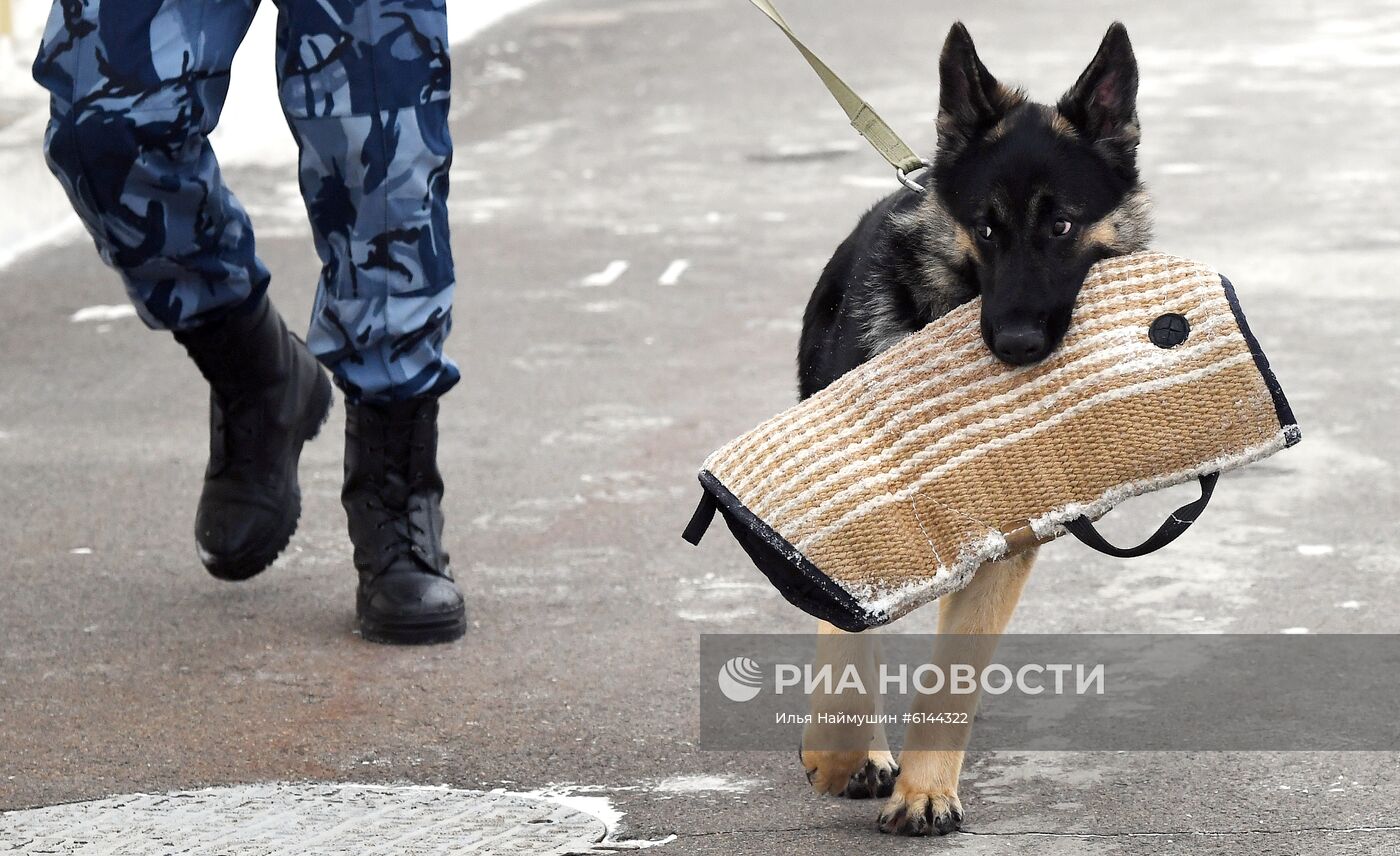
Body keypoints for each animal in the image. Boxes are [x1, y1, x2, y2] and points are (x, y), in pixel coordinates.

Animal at [795, 23, 1153, 840]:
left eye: (1061, 225)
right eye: (986, 229)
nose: (1016, 343)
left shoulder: (1005, 545)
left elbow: (953, 673)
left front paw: (926, 788)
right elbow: (847, 640)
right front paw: (839, 755)